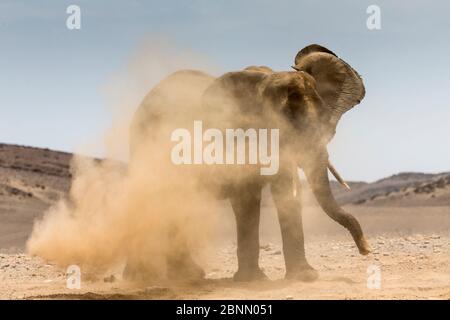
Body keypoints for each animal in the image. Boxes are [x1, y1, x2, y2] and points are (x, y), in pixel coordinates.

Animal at [125, 43, 370, 282]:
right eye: (285, 117)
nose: (366, 249)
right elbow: (245, 195)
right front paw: (255, 280)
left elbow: (284, 192)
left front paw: (304, 276)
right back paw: (164, 277)